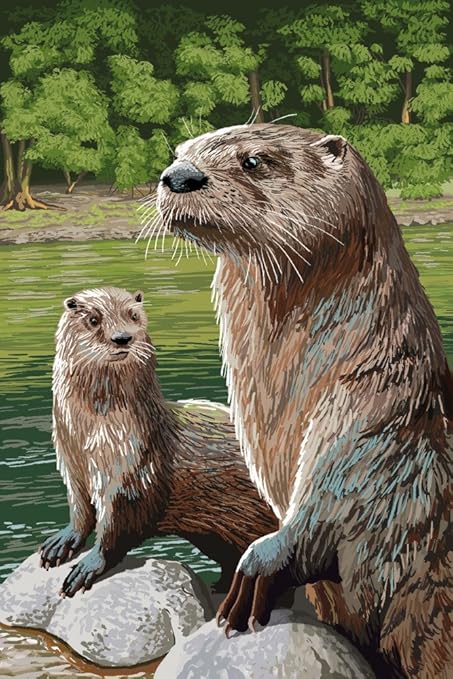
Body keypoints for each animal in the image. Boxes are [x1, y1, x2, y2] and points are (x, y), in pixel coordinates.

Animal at [40, 287, 278, 596]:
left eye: (133, 315)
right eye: (93, 319)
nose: (122, 338)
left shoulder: (135, 469)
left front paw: (89, 564)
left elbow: (118, 527)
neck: (88, 439)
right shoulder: (70, 463)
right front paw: (64, 540)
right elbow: (80, 509)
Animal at [157, 124, 453, 678]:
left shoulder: (369, 424)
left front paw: (256, 570)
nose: (178, 176)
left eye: (254, 160)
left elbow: (328, 509)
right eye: (181, 152)